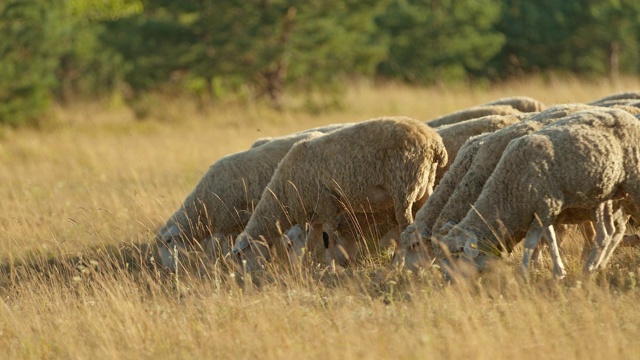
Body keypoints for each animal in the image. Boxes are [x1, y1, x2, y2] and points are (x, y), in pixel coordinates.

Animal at [154, 129, 324, 270]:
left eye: (168, 241)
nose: (168, 270)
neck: (202, 205)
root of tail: (315, 134)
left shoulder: (223, 225)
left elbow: (214, 249)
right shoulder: (235, 225)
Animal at [232, 116, 448, 270]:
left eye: (241, 256)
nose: (247, 282)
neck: (282, 192)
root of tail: (434, 143)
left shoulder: (327, 208)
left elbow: (328, 241)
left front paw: (331, 269)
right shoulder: (316, 217)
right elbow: (310, 244)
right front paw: (305, 270)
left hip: (403, 188)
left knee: (406, 227)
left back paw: (398, 265)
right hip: (424, 186)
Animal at [440, 107, 640, 278]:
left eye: (456, 256)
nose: (449, 282)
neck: (507, 191)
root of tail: (627, 115)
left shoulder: (545, 205)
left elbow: (533, 243)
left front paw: (528, 273)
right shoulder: (543, 211)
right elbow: (547, 238)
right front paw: (554, 271)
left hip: (633, 178)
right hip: (602, 193)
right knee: (606, 232)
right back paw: (592, 267)